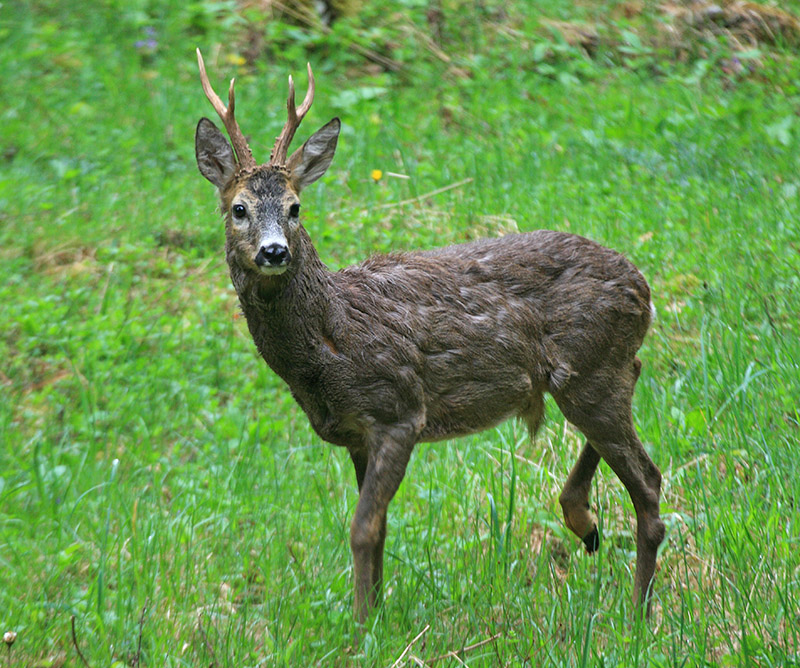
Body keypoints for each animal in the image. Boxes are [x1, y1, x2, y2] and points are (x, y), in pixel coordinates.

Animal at [195, 51, 668, 628]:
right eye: (238, 208)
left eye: (294, 207)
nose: (274, 251)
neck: (329, 339)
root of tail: (643, 286)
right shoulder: (356, 434)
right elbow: (378, 531)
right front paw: (375, 613)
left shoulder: (398, 409)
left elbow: (363, 529)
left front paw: (361, 628)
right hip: (592, 373)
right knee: (634, 395)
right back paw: (585, 521)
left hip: (591, 369)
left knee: (649, 482)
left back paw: (638, 614)